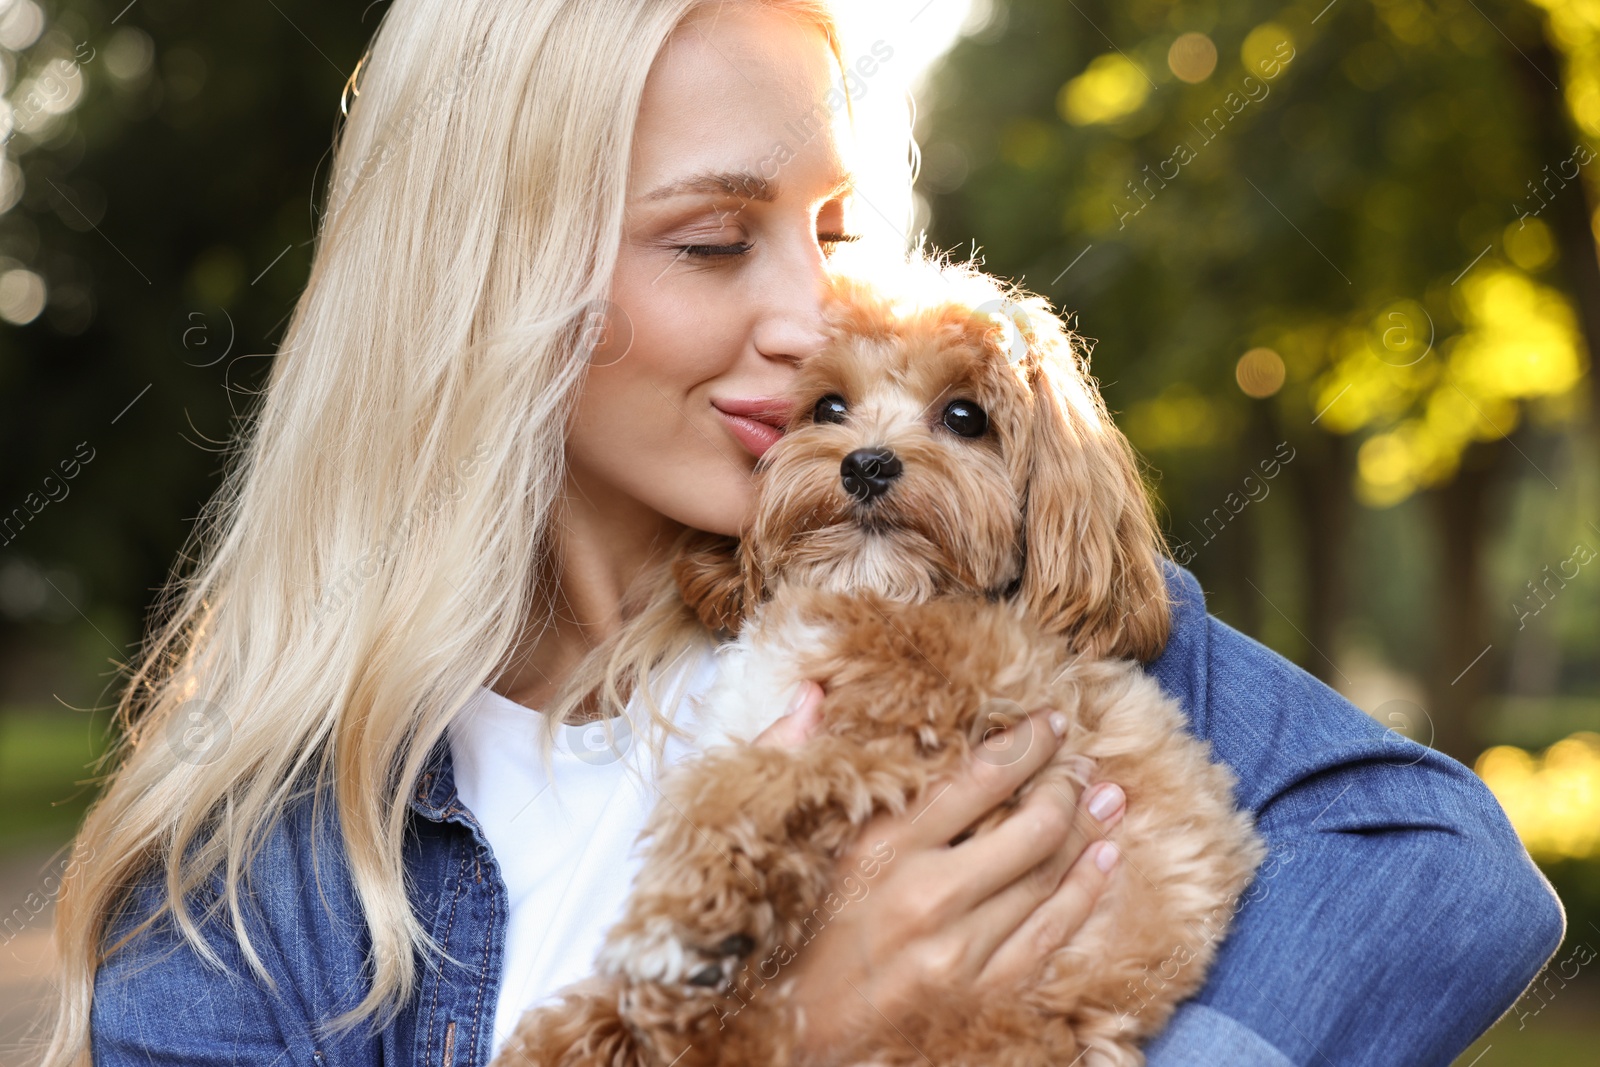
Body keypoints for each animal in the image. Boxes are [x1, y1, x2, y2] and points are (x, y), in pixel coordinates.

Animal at [492, 259, 1267, 1067]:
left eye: (965, 416)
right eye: (828, 406)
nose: (866, 463)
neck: (878, 597)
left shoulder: (914, 747)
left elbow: (741, 784)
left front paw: (674, 924)